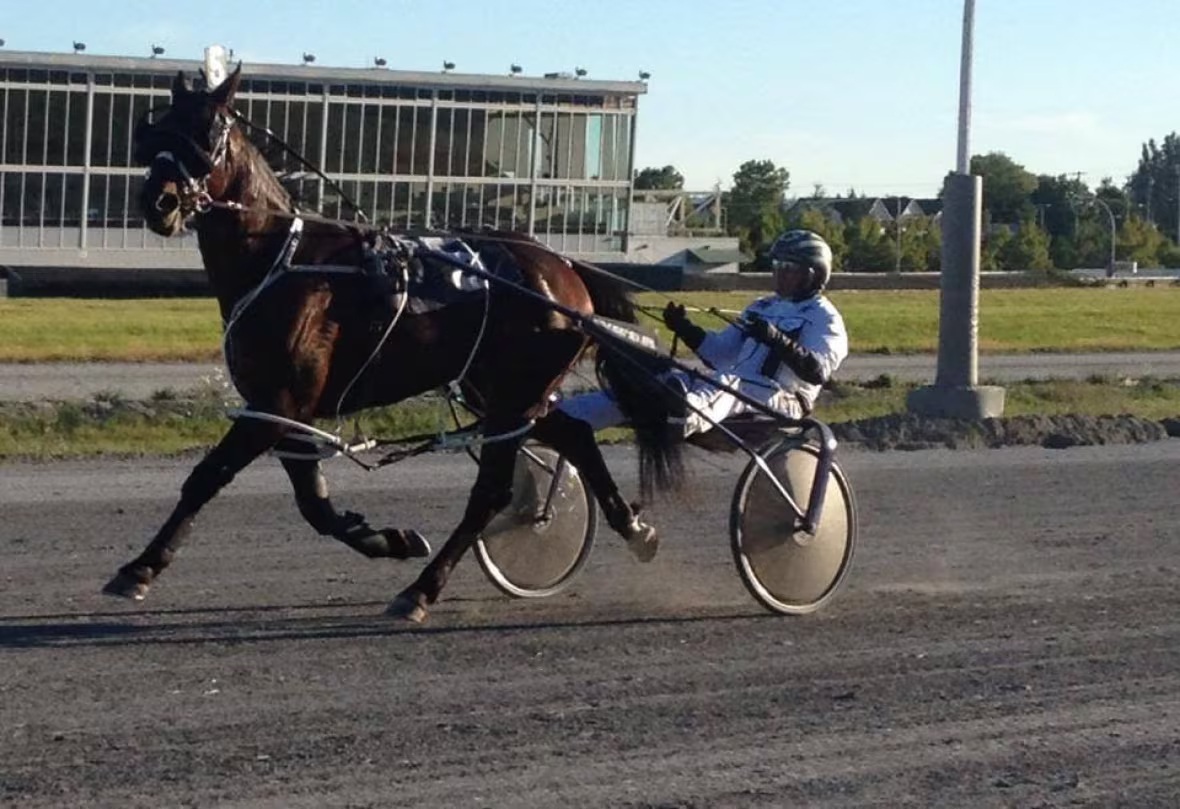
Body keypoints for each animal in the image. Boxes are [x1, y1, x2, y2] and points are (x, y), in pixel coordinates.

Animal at [102, 65, 684, 622]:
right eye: (156, 131)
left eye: (206, 134)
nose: (159, 202)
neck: (280, 259)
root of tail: (564, 268)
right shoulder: (286, 411)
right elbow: (314, 502)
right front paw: (389, 538)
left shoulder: (278, 404)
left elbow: (209, 477)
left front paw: (140, 567)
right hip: (500, 392)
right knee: (575, 435)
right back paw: (634, 529)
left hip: (515, 395)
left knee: (492, 491)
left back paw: (422, 590)